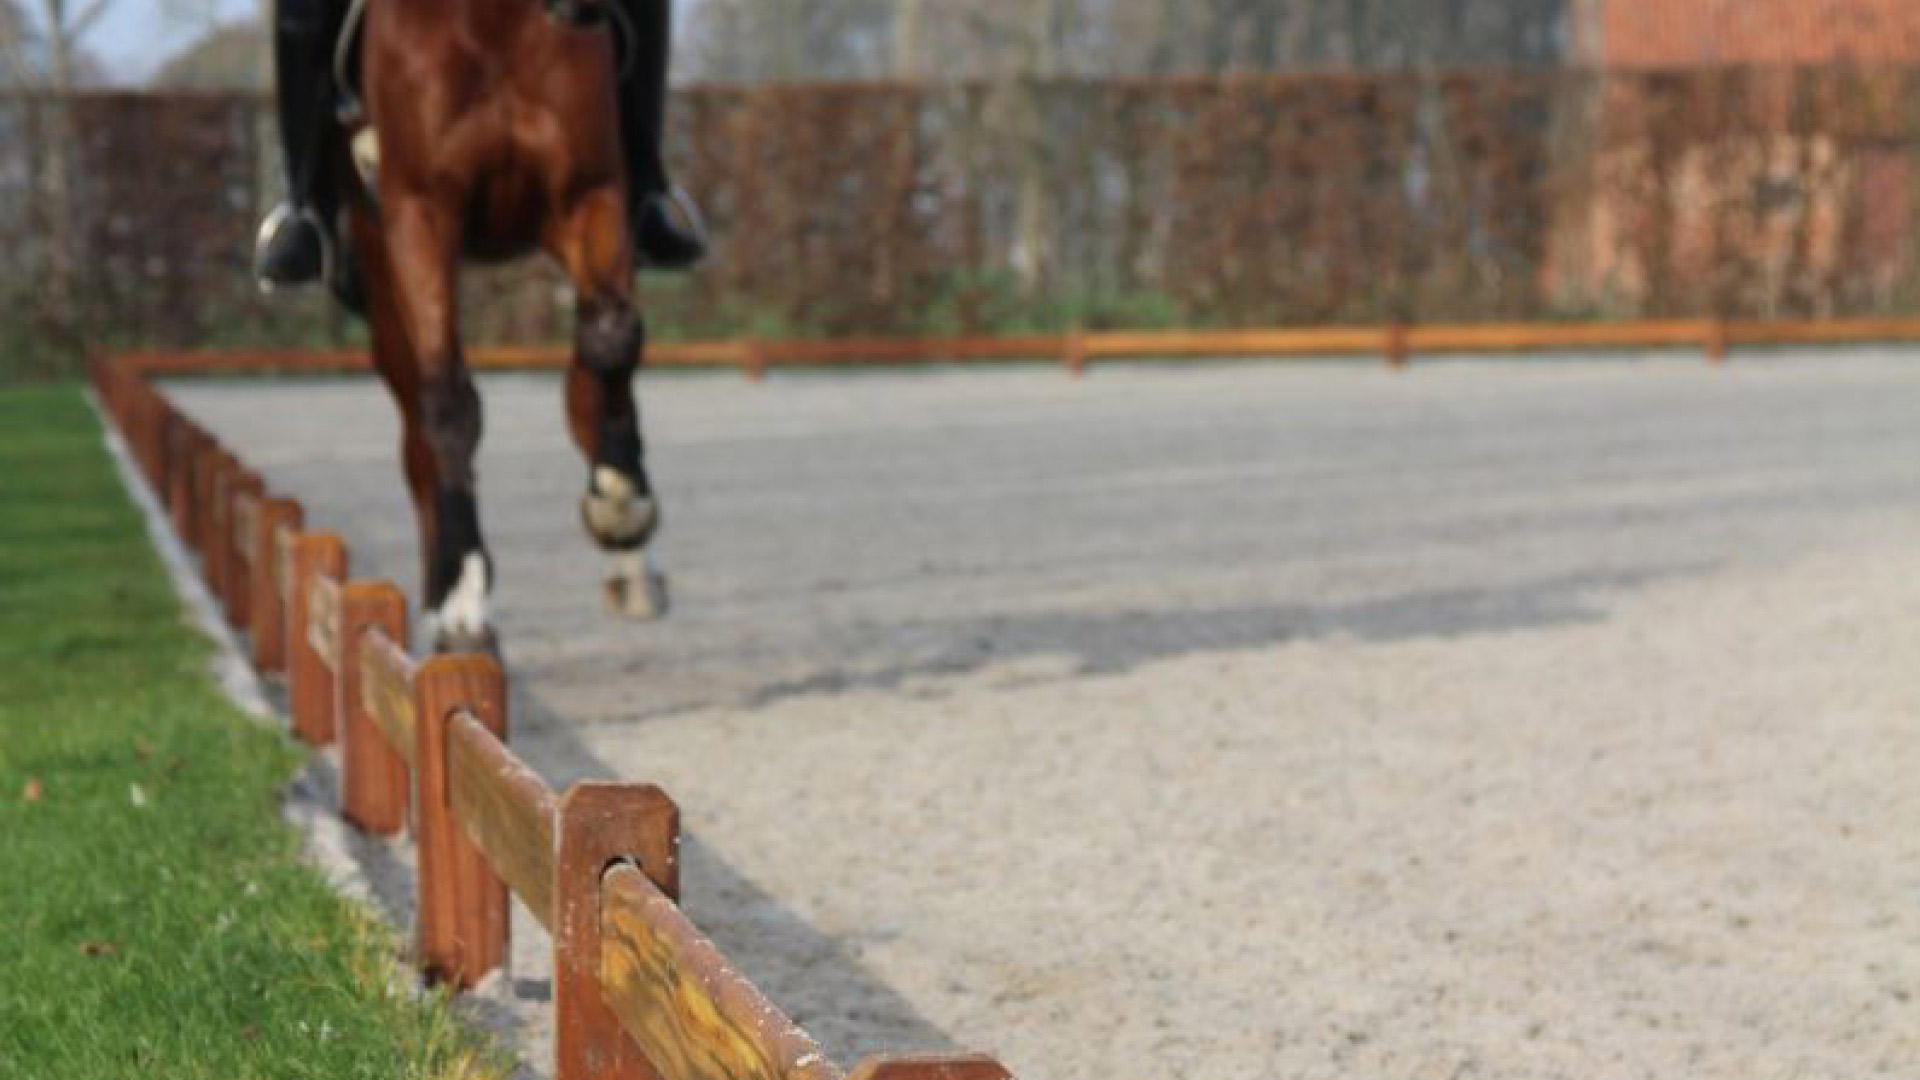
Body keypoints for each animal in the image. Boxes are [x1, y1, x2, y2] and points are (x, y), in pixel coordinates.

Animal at [345, 0, 668, 645]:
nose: (578, 9)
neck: (491, 23)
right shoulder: (418, 214)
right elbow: (448, 404)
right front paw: (464, 596)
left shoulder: (587, 194)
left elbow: (610, 341)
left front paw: (619, 506)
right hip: (380, 274)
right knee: (418, 435)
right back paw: (444, 604)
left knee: (590, 371)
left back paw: (630, 558)